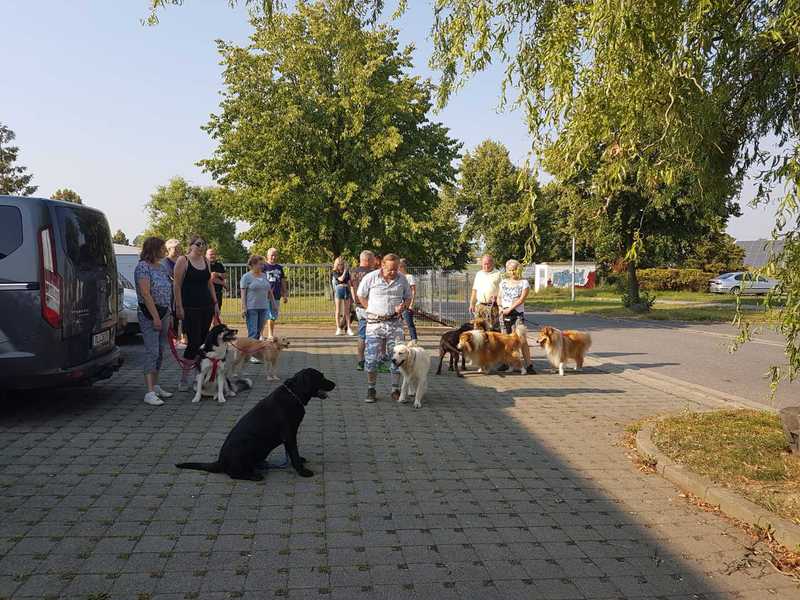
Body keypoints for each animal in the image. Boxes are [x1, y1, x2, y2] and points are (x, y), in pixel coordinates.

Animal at [176, 368, 336, 481]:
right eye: (321, 377)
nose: (334, 384)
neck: (293, 394)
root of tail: (220, 462)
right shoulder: (289, 433)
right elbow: (293, 453)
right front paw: (302, 471)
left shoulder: (289, 435)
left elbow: (291, 452)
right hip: (248, 443)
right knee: (234, 474)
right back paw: (253, 475)